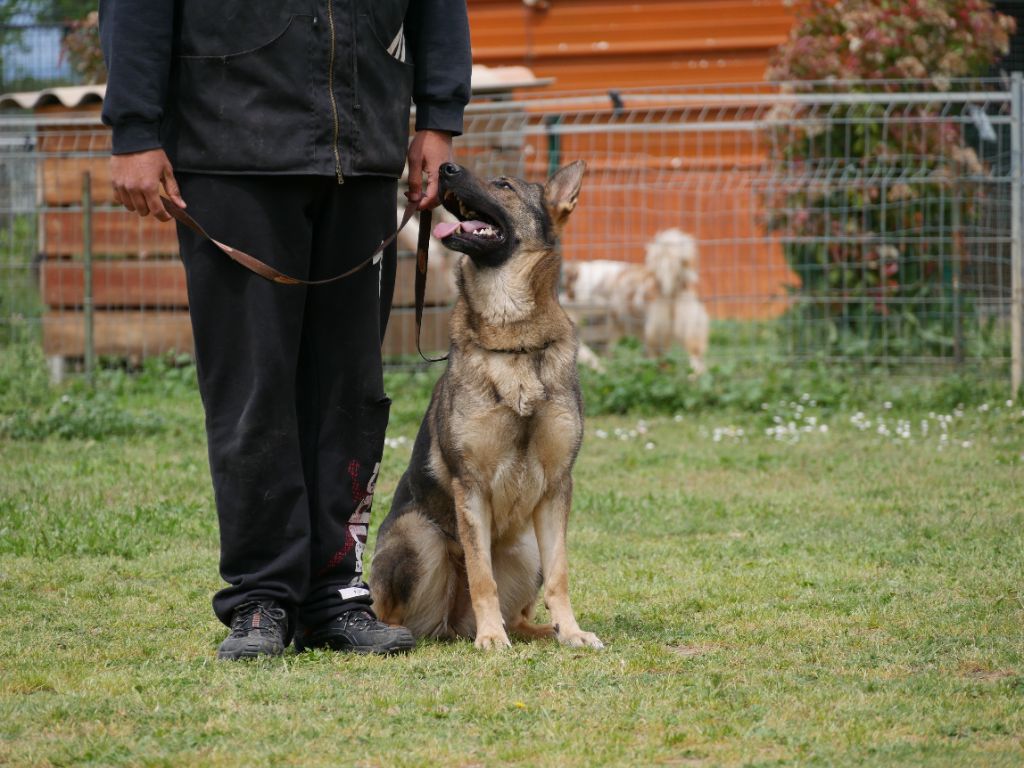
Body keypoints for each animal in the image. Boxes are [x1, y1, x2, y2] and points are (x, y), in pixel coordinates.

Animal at [368, 159, 602, 651]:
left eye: (503, 185)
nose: (445, 167)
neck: (512, 340)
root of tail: (453, 626)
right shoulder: (470, 486)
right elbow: (481, 574)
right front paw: (492, 638)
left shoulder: (557, 487)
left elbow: (560, 575)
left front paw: (571, 630)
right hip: (417, 535)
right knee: (393, 611)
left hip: (527, 549)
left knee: (523, 611)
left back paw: (542, 631)